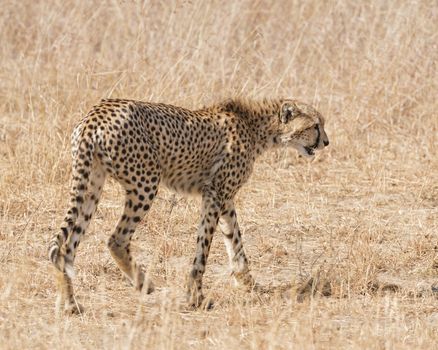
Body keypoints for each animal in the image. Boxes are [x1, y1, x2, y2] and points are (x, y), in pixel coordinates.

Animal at [48, 97, 328, 314]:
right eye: (316, 125)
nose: (326, 142)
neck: (255, 125)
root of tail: (95, 114)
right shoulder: (215, 193)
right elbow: (204, 248)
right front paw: (197, 297)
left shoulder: (224, 198)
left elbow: (234, 239)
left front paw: (247, 281)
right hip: (146, 182)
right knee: (116, 239)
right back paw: (143, 283)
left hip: (91, 185)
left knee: (67, 249)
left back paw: (69, 304)